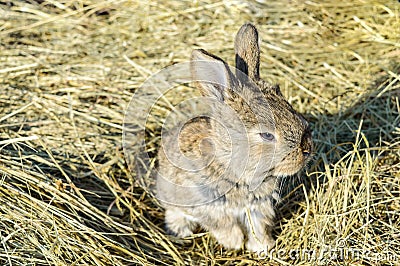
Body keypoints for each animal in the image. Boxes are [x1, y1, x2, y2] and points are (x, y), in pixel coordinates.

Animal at [155, 22, 312, 251]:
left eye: (289, 107)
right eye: (266, 135)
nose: (307, 149)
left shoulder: (258, 207)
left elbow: (259, 226)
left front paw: (263, 247)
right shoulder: (205, 205)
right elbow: (223, 224)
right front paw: (235, 242)